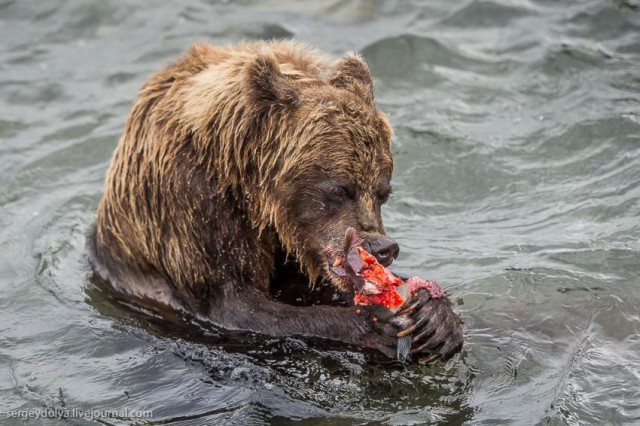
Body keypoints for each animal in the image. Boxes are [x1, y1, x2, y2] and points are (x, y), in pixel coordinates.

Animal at [87, 39, 462, 360]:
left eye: (383, 192)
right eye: (340, 189)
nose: (383, 248)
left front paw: (434, 317)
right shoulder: (193, 207)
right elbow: (235, 304)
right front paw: (373, 325)